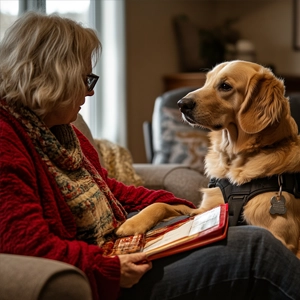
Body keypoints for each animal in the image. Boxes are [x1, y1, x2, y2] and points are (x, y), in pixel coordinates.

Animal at [177, 59, 300, 256]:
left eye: (225, 86)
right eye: (206, 81)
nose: (181, 104)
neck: (233, 160)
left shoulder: (281, 238)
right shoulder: (205, 208)